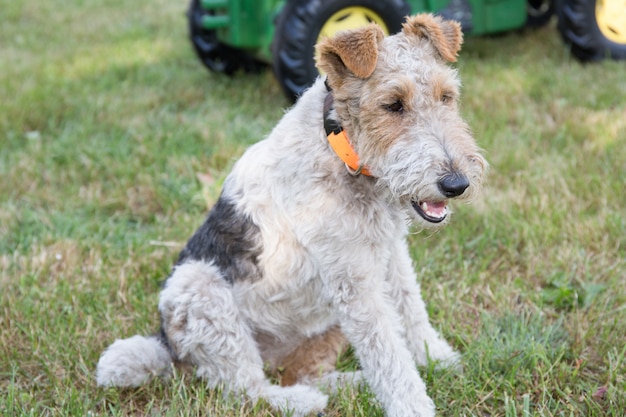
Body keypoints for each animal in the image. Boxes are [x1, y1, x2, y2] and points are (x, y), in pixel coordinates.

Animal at [97, 13, 488, 416]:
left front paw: (436, 358)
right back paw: (301, 401)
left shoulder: (390, 253)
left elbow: (411, 308)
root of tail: (166, 345)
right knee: (245, 388)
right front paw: (414, 405)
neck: (341, 150)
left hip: (322, 328)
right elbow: (388, 355)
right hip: (201, 293)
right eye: (393, 104)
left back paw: (351, 386)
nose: (456, 183)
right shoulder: (354, 281)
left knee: (301, 372)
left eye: (447, 96)